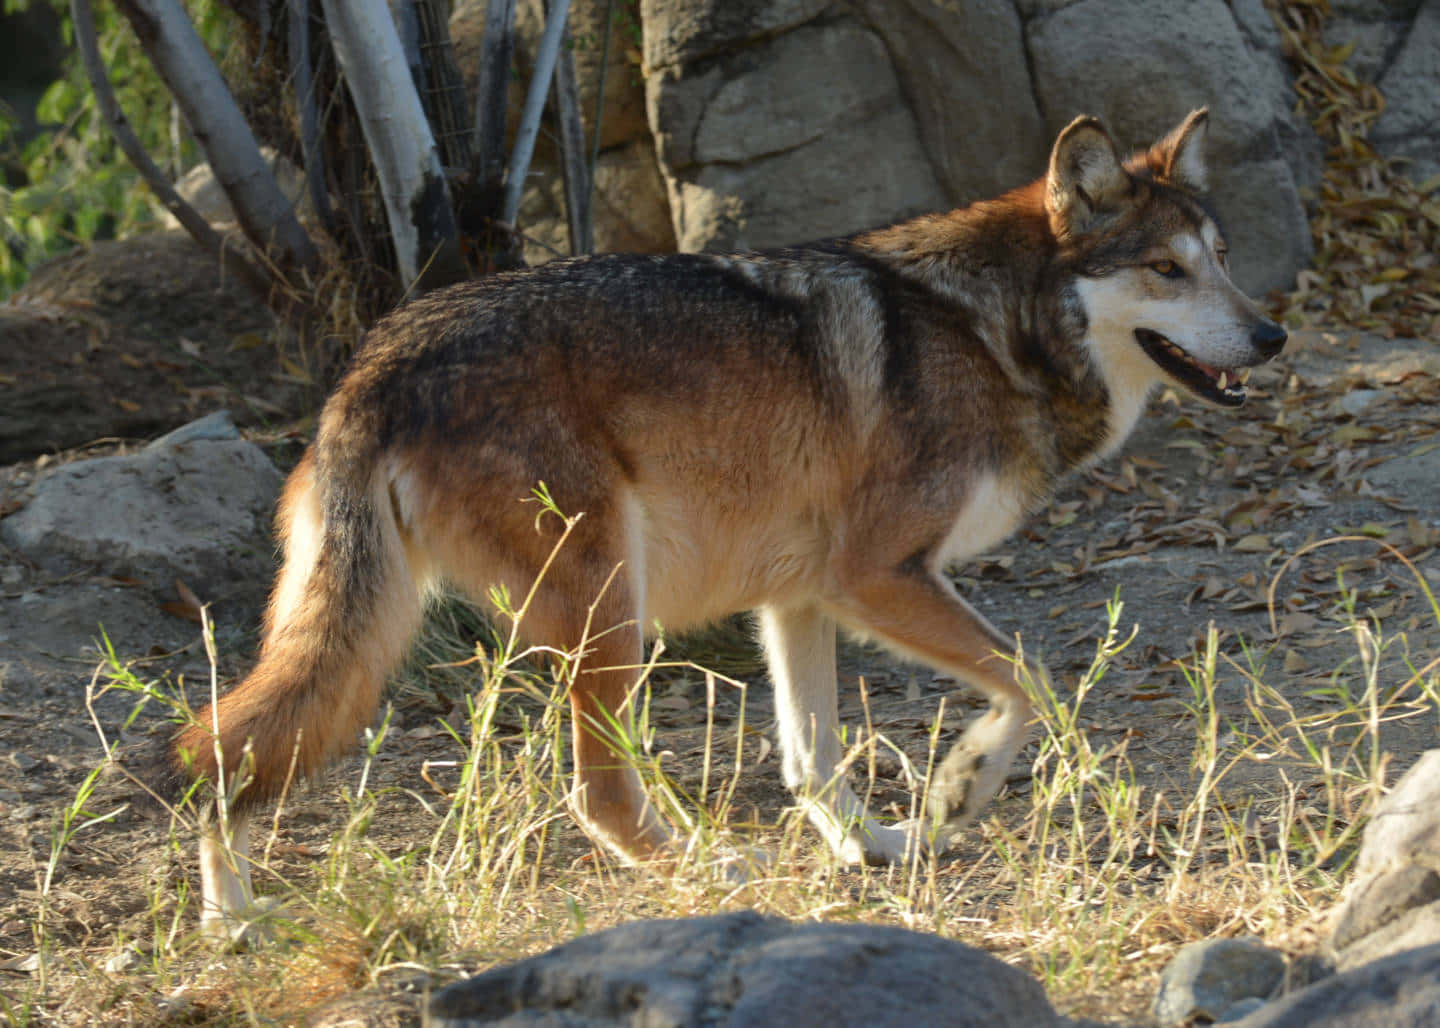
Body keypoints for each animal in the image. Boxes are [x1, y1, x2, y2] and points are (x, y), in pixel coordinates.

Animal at [163, 107, 1290, 932]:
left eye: (1225, 255)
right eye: (1167, 269)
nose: (1273, 334)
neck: (991, 327)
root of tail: (371, 365)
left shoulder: (801, 598)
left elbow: (812, 758)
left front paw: (874, 847)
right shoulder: (877, 574)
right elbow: (1034, 681)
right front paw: (963, 787)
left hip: (420, 627)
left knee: (225, 754)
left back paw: (232, 919)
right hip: (612, 613)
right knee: (596, 798)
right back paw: (708, 865)